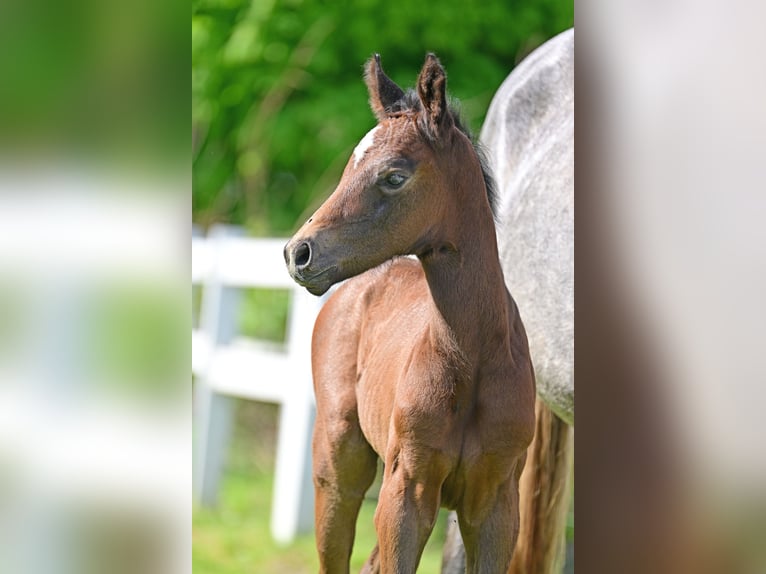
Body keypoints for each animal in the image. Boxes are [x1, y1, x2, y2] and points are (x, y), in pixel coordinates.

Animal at [284, 53, 536, 572]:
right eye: (348, 168)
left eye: (394, 176)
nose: (298, 253)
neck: (472, 359)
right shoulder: (407, 492)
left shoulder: (497, 503)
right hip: (339, 470)